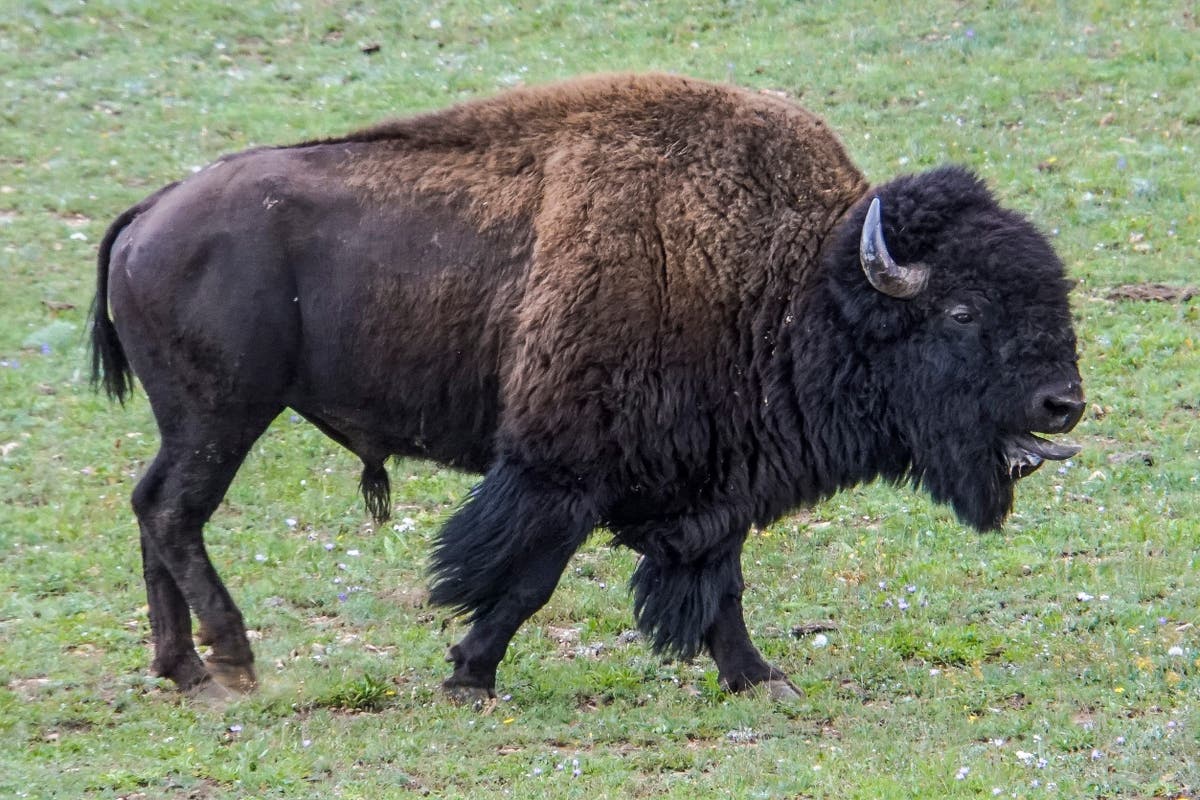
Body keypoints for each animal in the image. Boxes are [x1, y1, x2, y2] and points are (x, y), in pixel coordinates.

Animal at [91, 73, 1089, 700]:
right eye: (961, 311)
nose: (1064, 403)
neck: (796, 281)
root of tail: (149, 213)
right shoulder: (564, 472)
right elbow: (529, 579)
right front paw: (470, 676)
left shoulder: (709, 485)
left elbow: (718, 584)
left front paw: (761, 677)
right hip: (224, 415)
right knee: (175, 513)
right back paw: (234, 661)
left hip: (196, 422)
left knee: (151, 508)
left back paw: (183, 670)